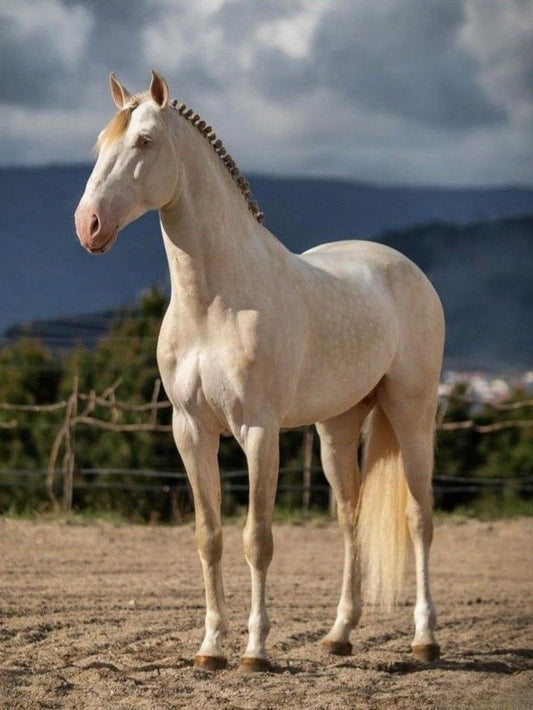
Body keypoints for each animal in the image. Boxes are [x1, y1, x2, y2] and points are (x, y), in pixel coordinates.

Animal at [75, 72, 444, 672]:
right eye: (100, 145)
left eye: (145, 141)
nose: (89, 225)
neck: (214, 303)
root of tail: (406, 270)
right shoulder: (190, 431)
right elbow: (209, 537)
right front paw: (209, 649)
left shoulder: (258, 432)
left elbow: (258, 540)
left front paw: (255, 651)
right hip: (338, 428)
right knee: (350, 519)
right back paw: (339, 636)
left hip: (412, 412)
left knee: (419, 517)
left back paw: (425, 639)